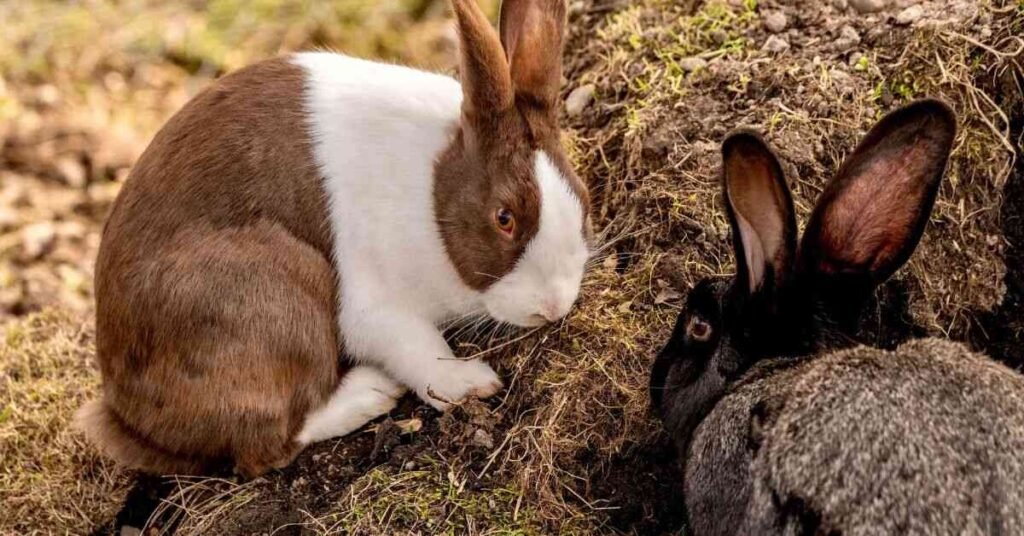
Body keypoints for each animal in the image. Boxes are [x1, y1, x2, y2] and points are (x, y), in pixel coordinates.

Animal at [76, 0, 591, 477]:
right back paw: (371, 393)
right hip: (276, 293)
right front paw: (470, 383)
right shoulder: (376, 305)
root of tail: (127, 417)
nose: (553, 306)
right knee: (266, 446)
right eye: (504, 218)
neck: (433, 188)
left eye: (581, 195)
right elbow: (418, 349)